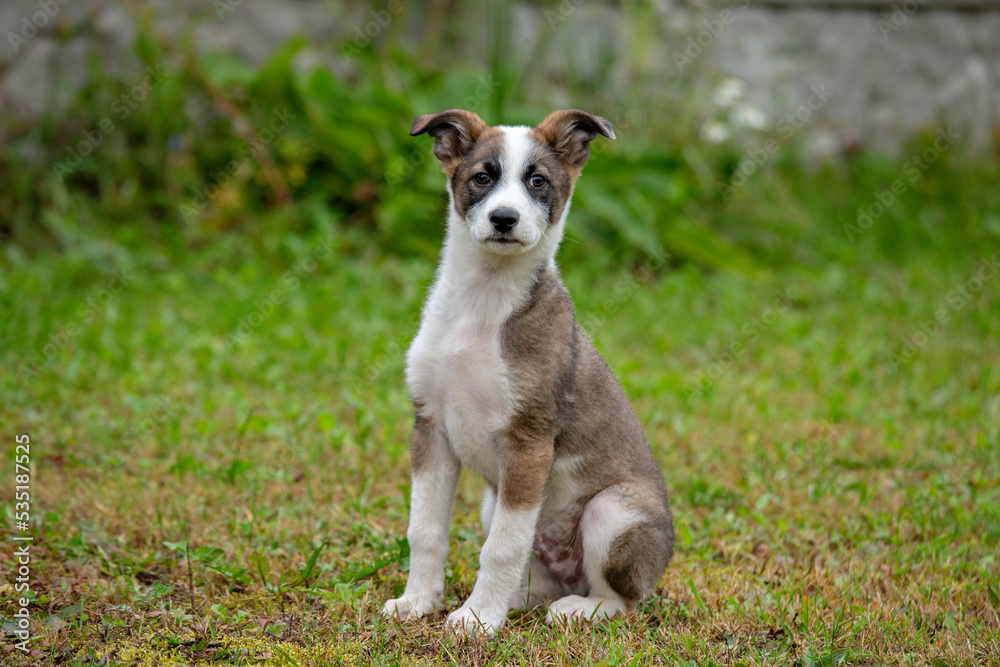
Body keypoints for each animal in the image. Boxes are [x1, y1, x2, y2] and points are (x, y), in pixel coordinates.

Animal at [382, 107, 672, 636]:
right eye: (482, 178)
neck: (482, 304)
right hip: (492, 501)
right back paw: (521, 600)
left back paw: (578, 609)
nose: (504, 219)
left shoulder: (528, 441)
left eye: (538, 181)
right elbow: (425, 530)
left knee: (620, 599)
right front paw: (418, 601)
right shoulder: (430, 427)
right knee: (540, 574)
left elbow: (501, 547)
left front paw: (476, 619)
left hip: (612, 511)